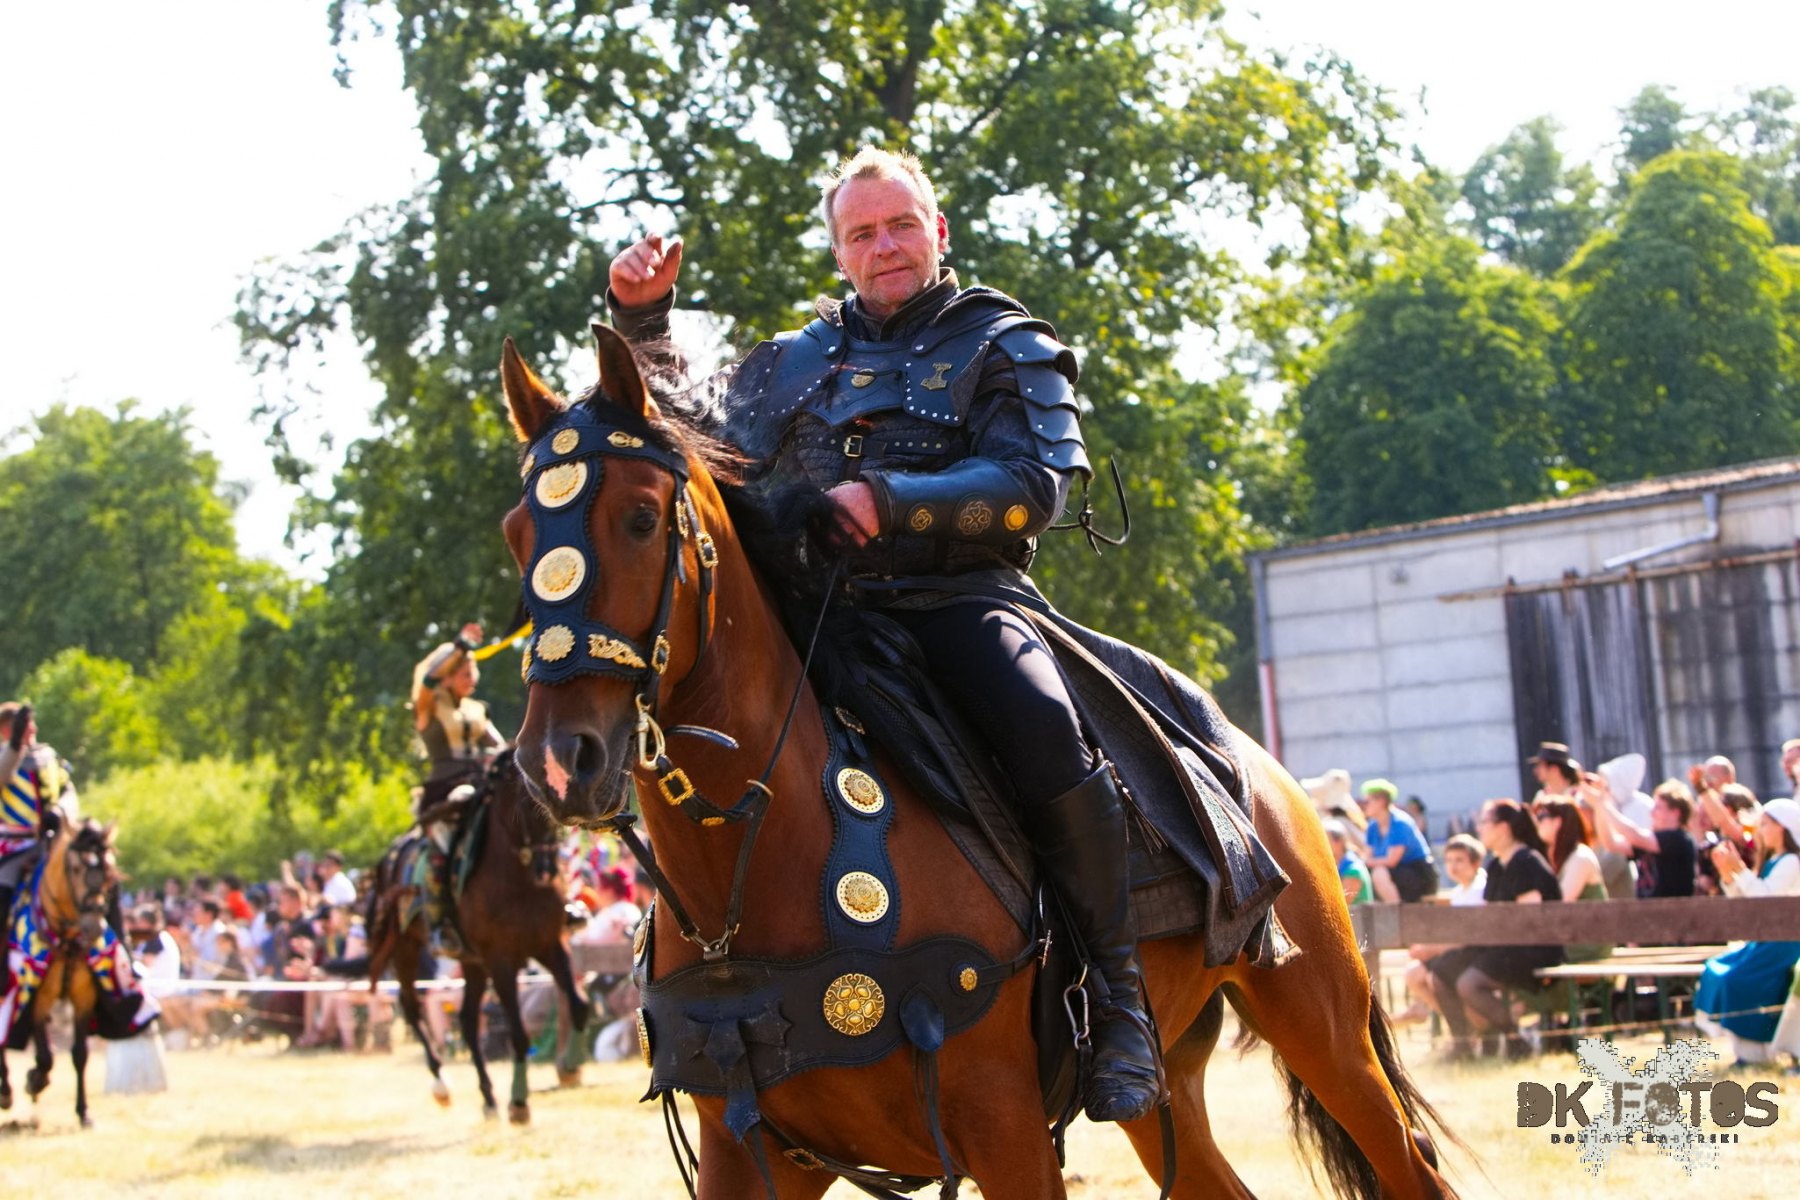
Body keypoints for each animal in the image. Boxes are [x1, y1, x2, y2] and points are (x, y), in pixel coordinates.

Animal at [0, 813, 123, 1128]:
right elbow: (45, 1056)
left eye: (109, 869)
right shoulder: (35, 993)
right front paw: (34, 1080)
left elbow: (80, 1054)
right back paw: (7, 1091)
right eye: (76, 868)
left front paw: (84, 1111)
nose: (94, 926)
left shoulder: (84, 998)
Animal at [365, 751, 591, 1124]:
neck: (518, 876)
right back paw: (441, 1085)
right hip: (406, 949)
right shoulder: (501, 959)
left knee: (468, 1021)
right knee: (412, 1008)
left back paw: (487, 1097)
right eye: (529, 800)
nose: (546, 868)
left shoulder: (549, 944)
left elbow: (580, 1005)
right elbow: (518, 1034)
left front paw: (570, 1068)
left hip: (472, 963)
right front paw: (519, 1102)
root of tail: (389, 859)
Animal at [495, 327, 1458, 1198]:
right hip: (1173, 1098)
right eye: (516, 533)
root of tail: (1264, 775)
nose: (558, 760)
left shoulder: (1006, 1133)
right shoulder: (754, 1151)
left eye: (641, 517)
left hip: (1324, 1030)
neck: (762, 866)